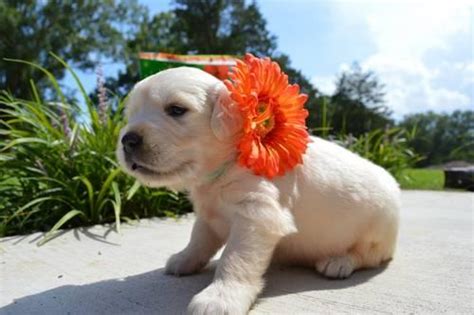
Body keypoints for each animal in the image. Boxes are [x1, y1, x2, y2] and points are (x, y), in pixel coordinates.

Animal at [115, 67, 400, 315]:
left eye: (176, 110)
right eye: (131, 114)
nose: (127, 140)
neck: (227, 165)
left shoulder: (256, 215)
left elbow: (235, 259)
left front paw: (220, 298)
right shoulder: (209, 214)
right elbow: (199, 240)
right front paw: (184, 260)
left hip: (378, 229)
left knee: (369, 255)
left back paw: (339, 261)